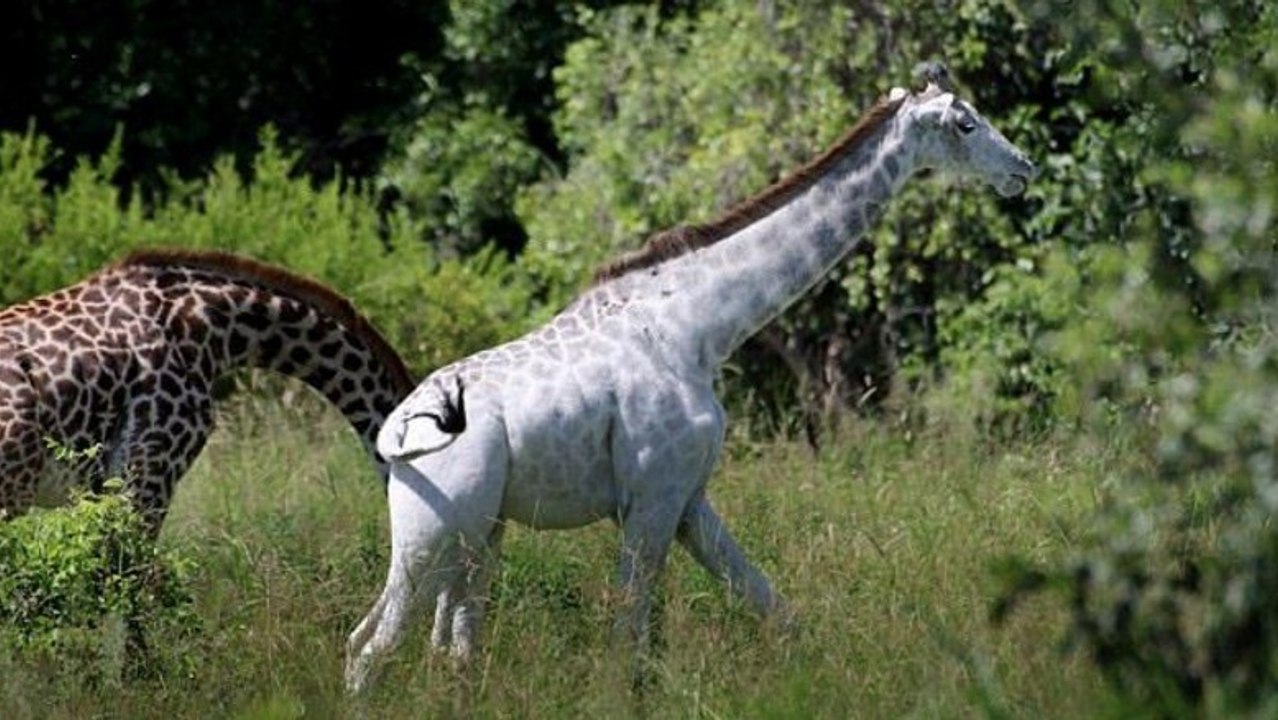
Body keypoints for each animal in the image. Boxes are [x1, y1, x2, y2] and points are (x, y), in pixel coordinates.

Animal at [345, 63, 1037, 693]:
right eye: (966, 123)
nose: (1023, 168)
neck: (698, 325)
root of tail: (395, 434)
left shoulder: (688, 497)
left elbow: (772, 606)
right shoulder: (651, 497)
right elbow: (626, 638)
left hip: (477, 537)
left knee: (433, 647)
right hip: (435, 535)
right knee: (372, 646)